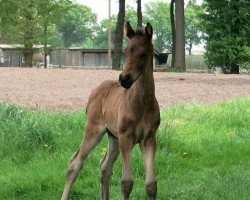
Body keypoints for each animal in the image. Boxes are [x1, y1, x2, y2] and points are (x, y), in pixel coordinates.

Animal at [61, 21, 161, 199]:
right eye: (125, 52)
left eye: (143, 54)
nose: (124, 79)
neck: (142, 104)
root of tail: (94, 92)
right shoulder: (125, 138)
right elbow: (127, 182)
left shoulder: (149, 139)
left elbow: (151, 184)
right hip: (94, 131)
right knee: (75, 164)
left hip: (113, 137)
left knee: (104, 167)